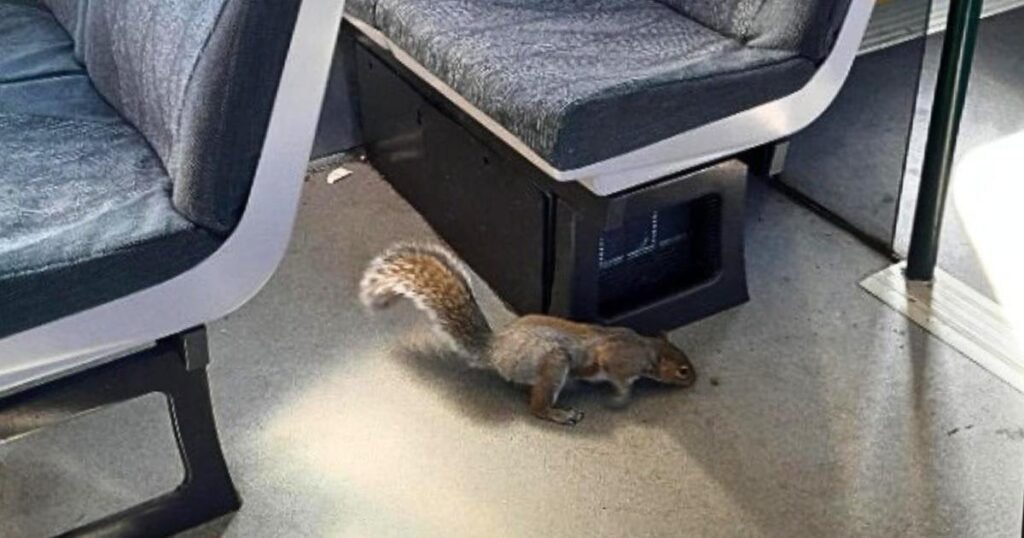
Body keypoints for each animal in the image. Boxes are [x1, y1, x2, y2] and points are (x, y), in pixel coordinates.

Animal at [360, 243, 696, 426]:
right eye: (682, 370)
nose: (694, 380)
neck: (647, 348)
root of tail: (494, 349)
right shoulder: (620, 360)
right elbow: (618, 378)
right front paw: (621, 397)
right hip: (553, 362)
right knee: (536, 407)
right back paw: (559, 414)